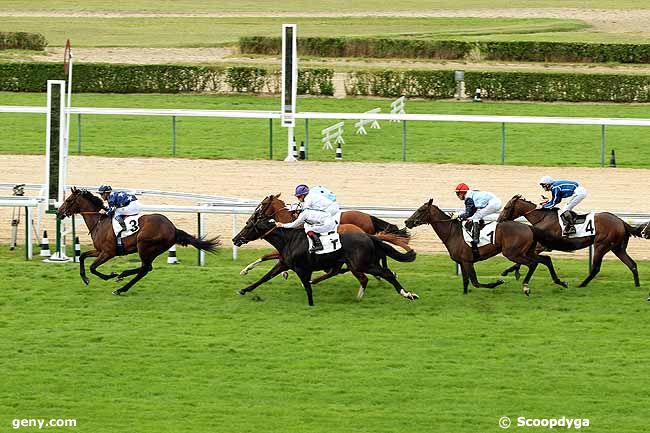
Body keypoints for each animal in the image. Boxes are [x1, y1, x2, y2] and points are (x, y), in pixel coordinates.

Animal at [56, 187, 218, 296]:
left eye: (68, 200)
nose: (58, 212)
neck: (99, 222)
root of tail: (173, 228)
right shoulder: (99, 250)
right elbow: (82, 256)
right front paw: (85, 278)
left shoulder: (108, 252)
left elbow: (93, 268)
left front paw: (111, 275)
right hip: (151, 250)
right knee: (144, 269)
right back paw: (122, 282)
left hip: (144, 245)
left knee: (145, 268)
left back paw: (121, 281)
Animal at [235, 194, 412, 298]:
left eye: (263, 204)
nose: (254, 214)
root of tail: (368, 217)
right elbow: (266, 258)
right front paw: (245, 271)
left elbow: (270, 258)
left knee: (366, 269)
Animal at [402, 198, 564, 294]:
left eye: (422, 210)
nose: (407, 222)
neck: (452, 232)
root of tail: (529, 227)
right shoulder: (464, 262)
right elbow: (467, 281)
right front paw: (465, 294)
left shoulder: (467, 261)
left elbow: (475, 282)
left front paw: (496, 283)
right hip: (528, 251)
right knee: (545, 260)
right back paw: (560, 282)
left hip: (513, 253)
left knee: (533, 264)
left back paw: (525, 286)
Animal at [496, 196, 648, 290]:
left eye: (506, 207)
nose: (499, 220)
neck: (543, 218)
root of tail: (621, 221)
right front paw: (512, 271)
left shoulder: (542, 245)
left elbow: (525, 259)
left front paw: (509, 271)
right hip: (618, 248)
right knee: (632, 264)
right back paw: (637, 285)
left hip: (601, 245)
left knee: (595, 268)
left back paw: (581, 284)